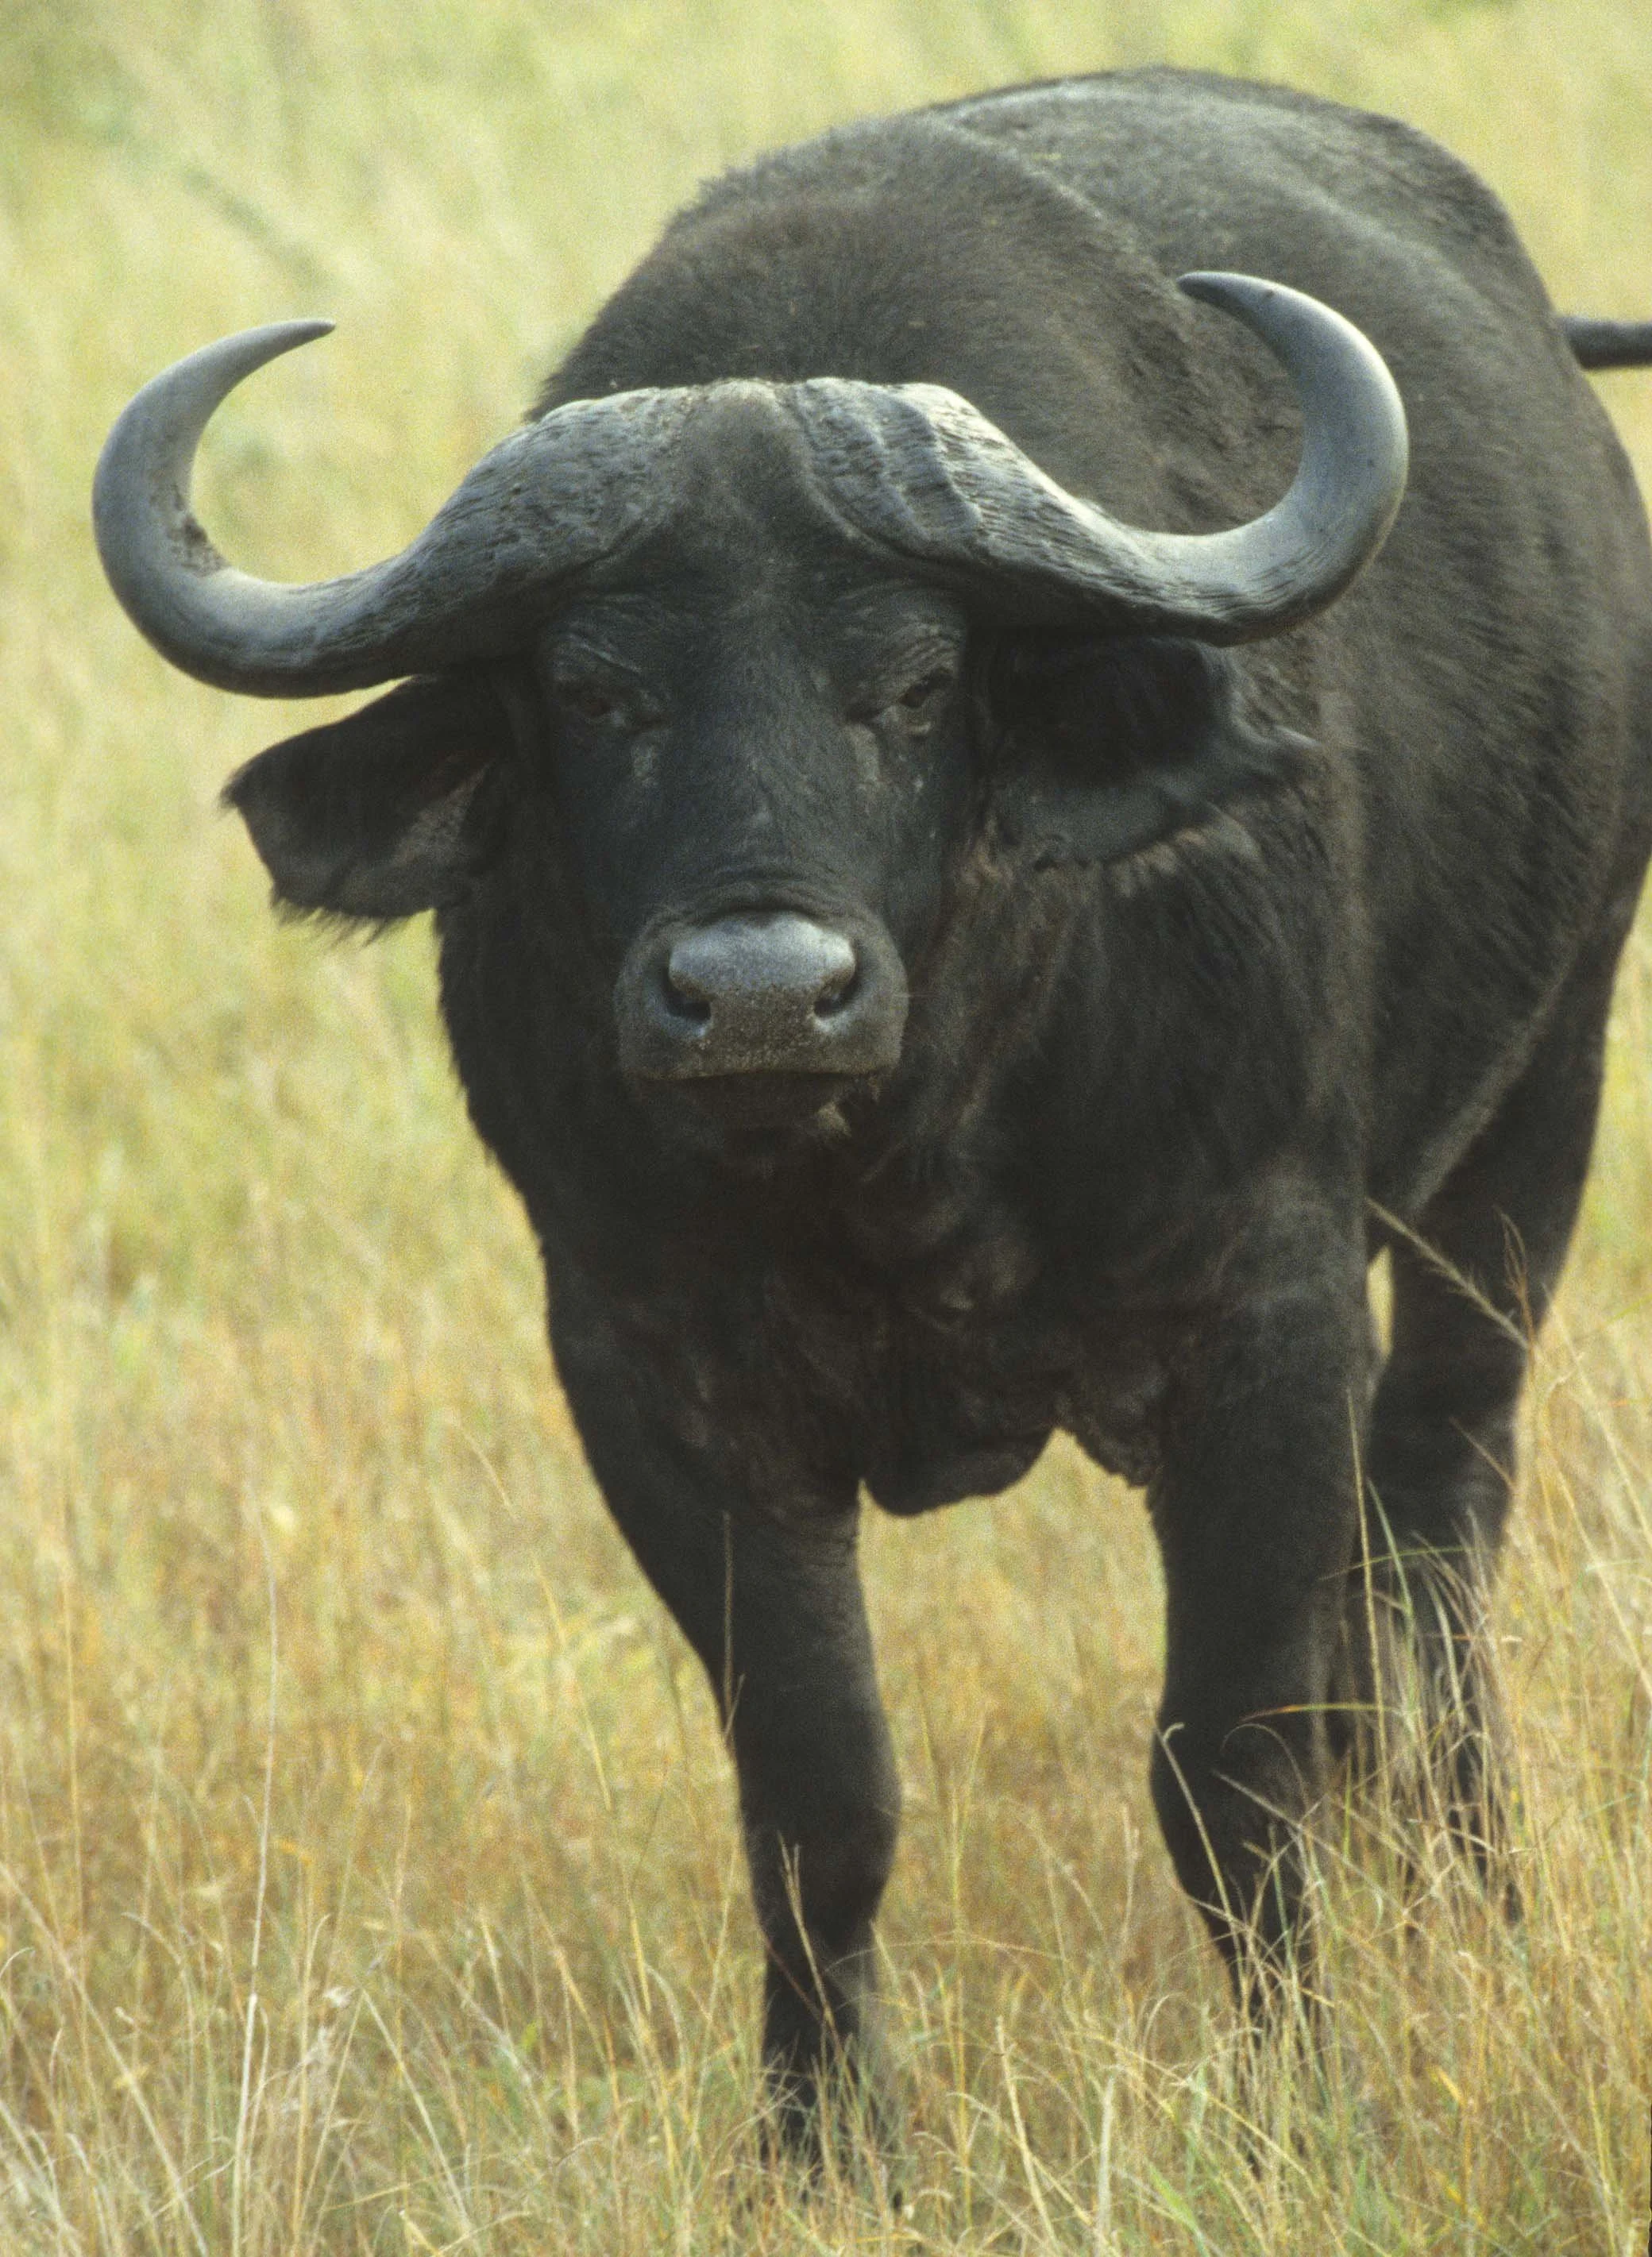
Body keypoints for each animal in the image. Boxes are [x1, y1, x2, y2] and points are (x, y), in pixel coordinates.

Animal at [95, 68, 1652, 2164]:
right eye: (592, 692)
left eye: (912, 684)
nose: (757, 991)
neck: (901, 1161)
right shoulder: (647, 1369)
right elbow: (816, 1790)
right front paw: (822, 2133)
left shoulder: (1268, 1311)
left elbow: (1232, 1763)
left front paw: (1297, 2094)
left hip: (1533, 1111)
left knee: (1433, 1518)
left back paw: (1467, 1884)